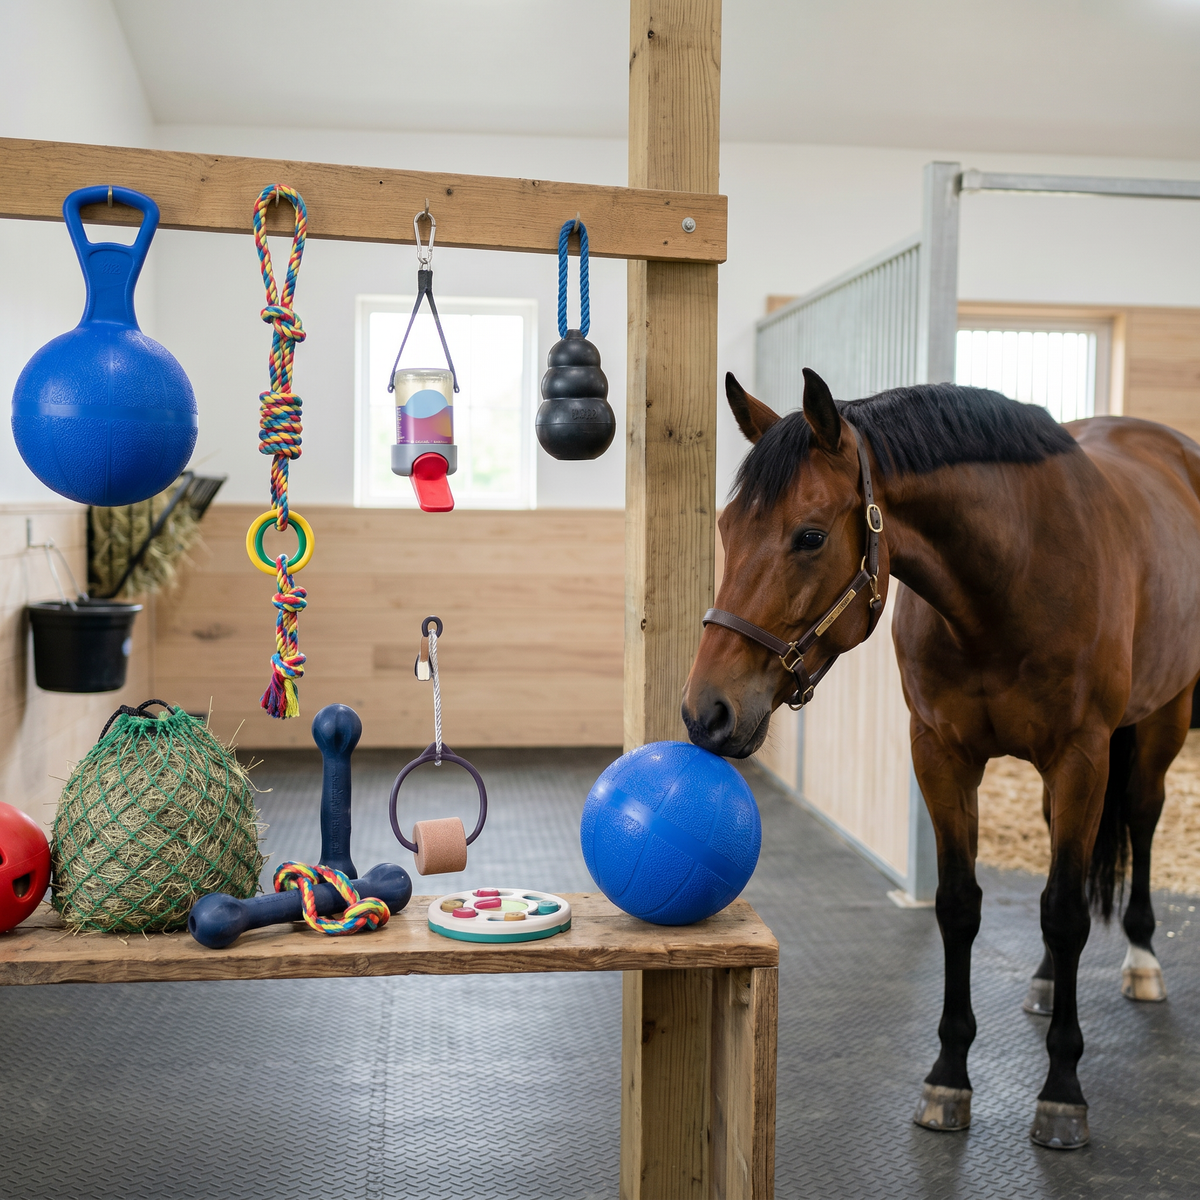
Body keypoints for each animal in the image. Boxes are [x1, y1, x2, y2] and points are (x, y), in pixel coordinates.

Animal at [683, 367, 1200, 1149]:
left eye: (809, 536)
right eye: (725, 527)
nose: (705, 712)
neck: (1012, 577)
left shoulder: (1081, 757)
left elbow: (1066, 912)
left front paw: (1062, 1092)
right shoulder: (940, 754)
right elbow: (960, 906)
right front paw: (948, 1077)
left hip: (1163, 716)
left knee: (1139, 818)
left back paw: (1141, 958)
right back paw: (1047, 980)